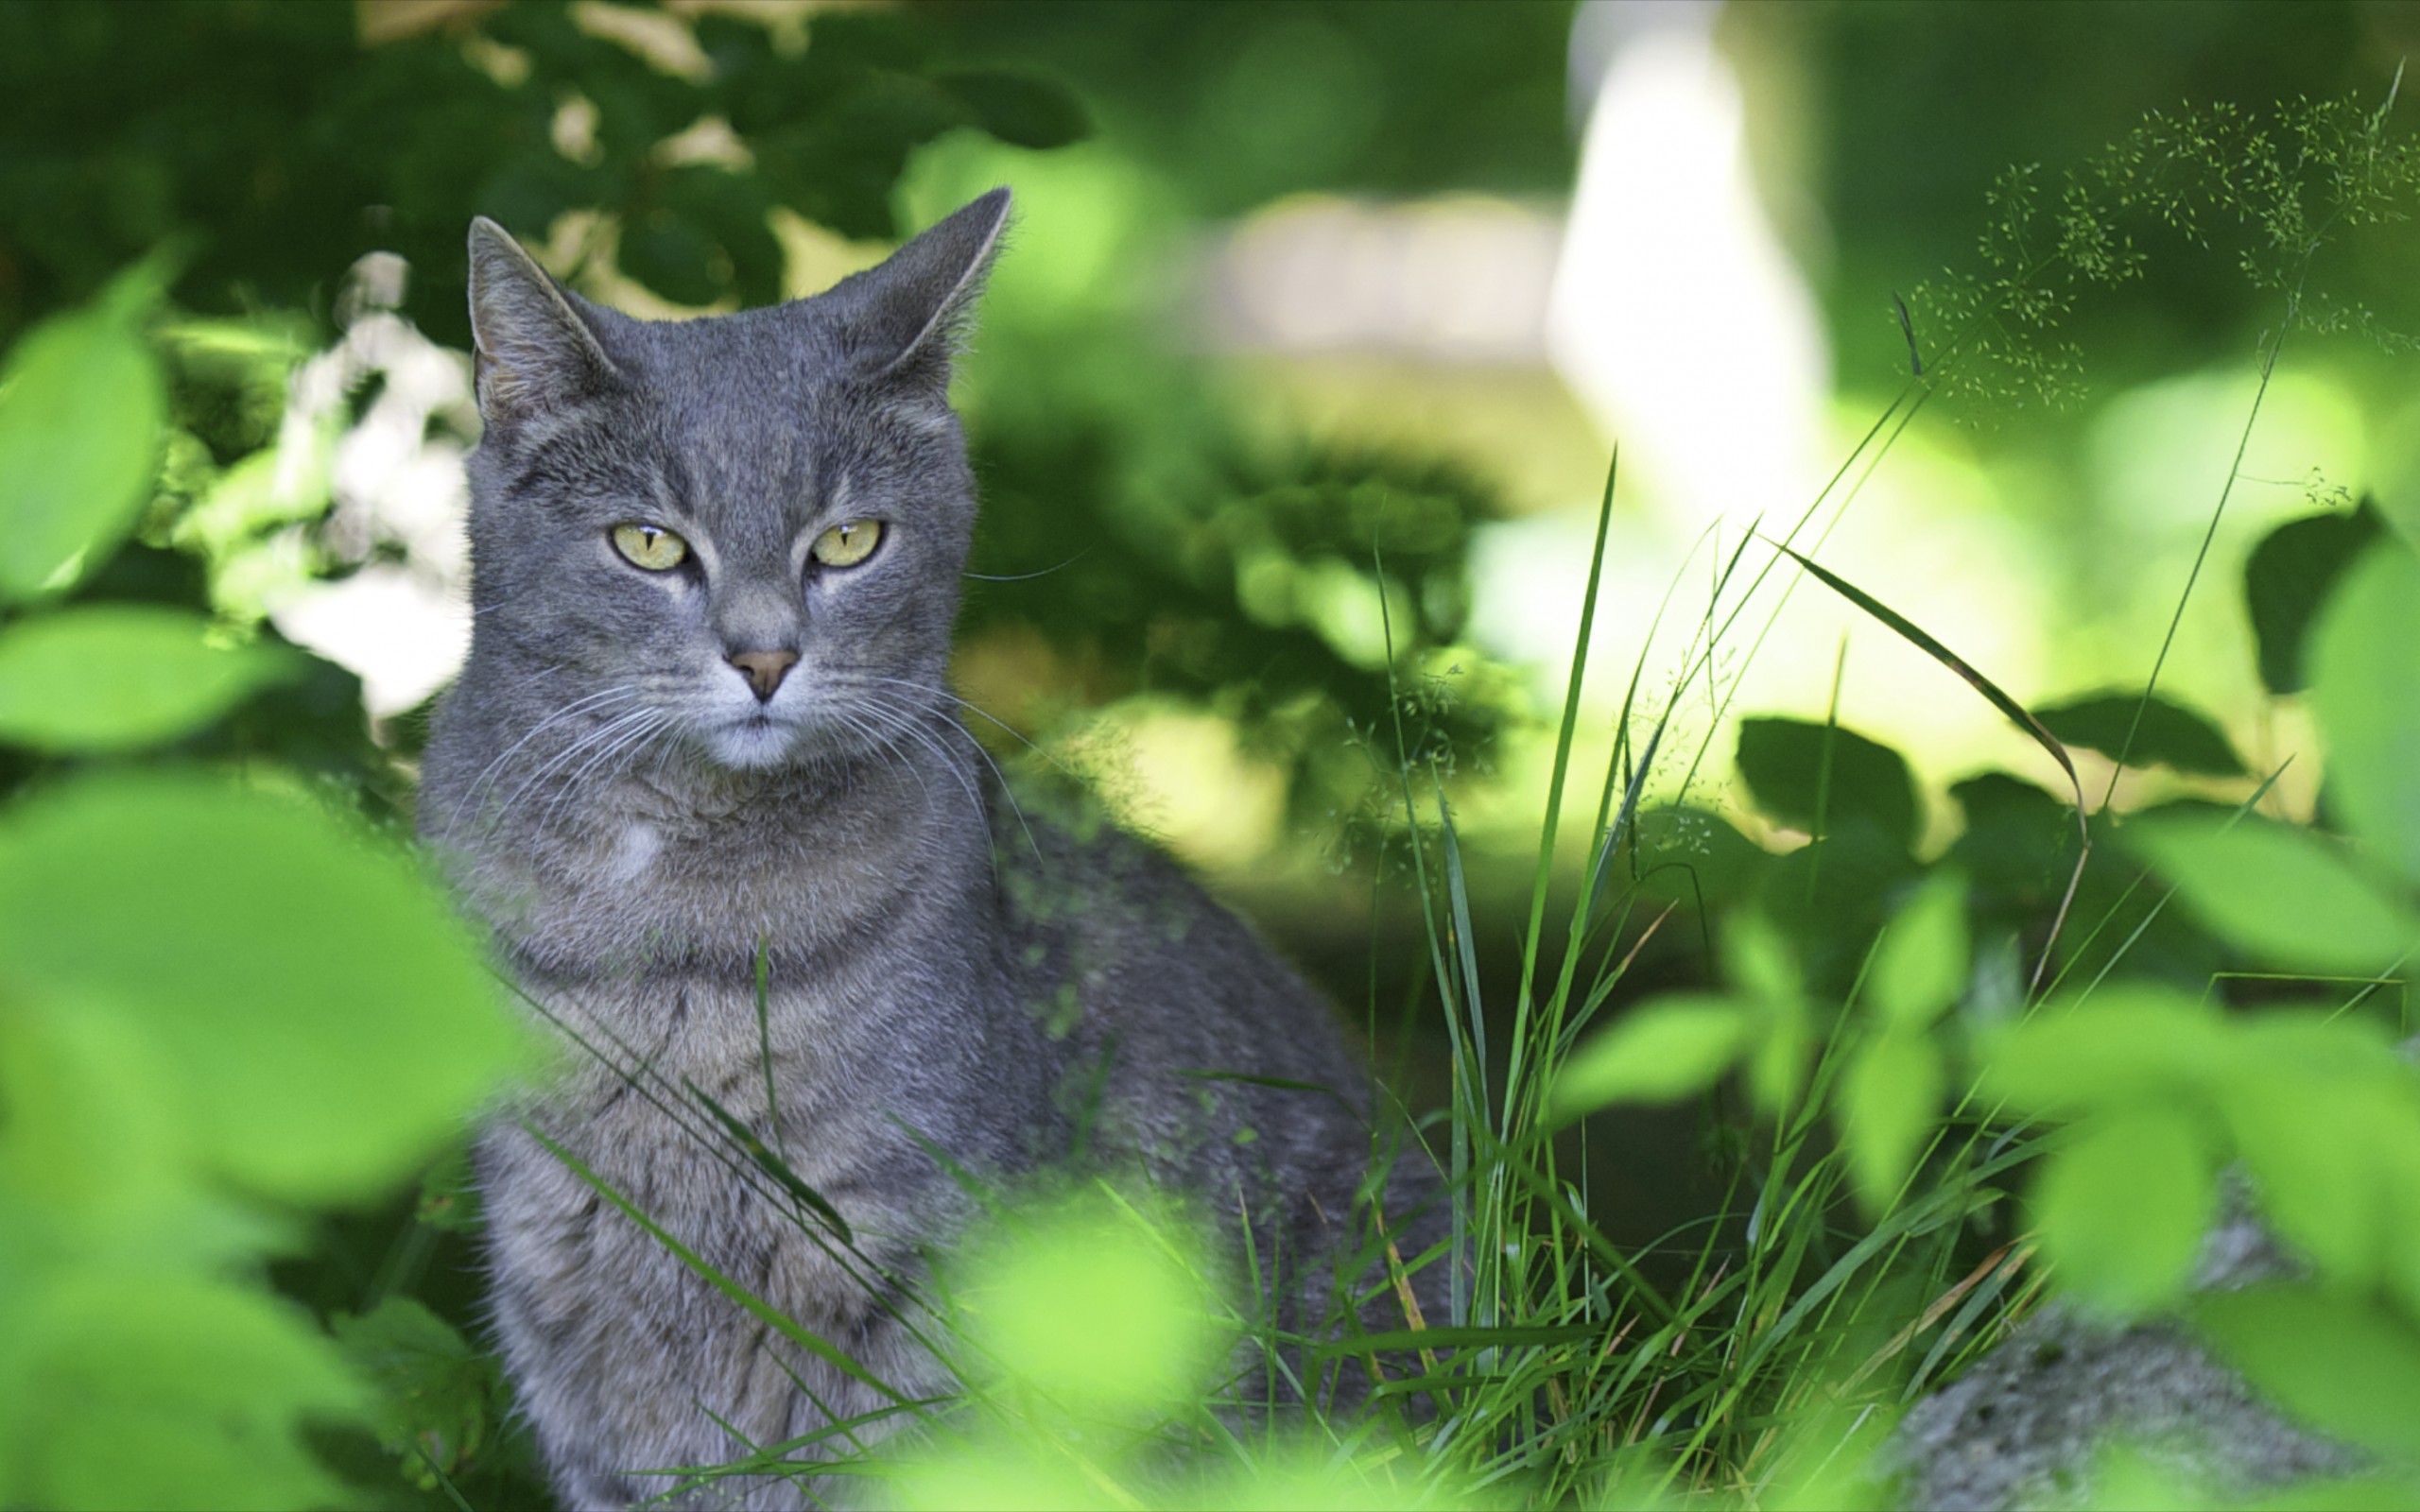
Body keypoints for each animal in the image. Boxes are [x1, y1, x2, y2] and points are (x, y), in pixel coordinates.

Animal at [416, 191, 1442, 1509]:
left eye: (849, 541)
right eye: (648, 544)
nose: (765, 656)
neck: (674, 940)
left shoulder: (919, 1287)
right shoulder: (569, 1289)